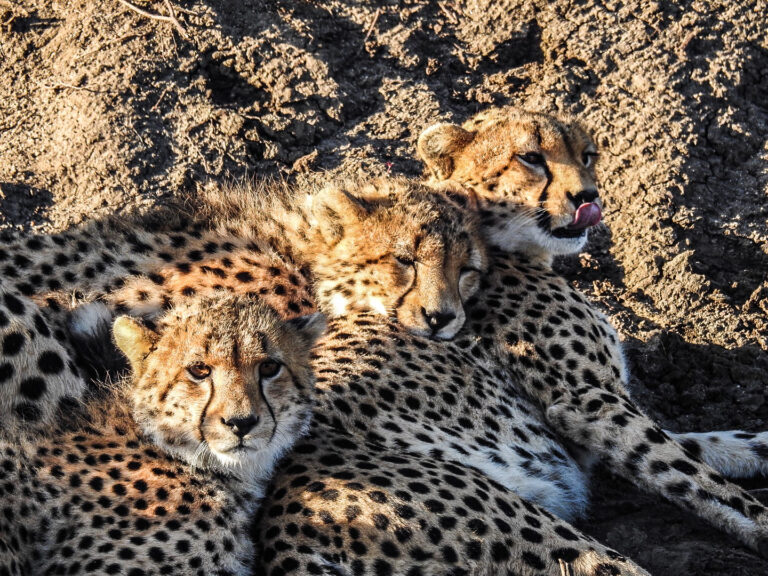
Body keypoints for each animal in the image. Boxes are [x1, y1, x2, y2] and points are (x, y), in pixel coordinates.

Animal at [416, 109, 768, 552]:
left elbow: (691, 443)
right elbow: (698, 477)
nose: (588, 197)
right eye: (531, 157)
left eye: (586, 156)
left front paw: (758, 445)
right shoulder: (584, 403)